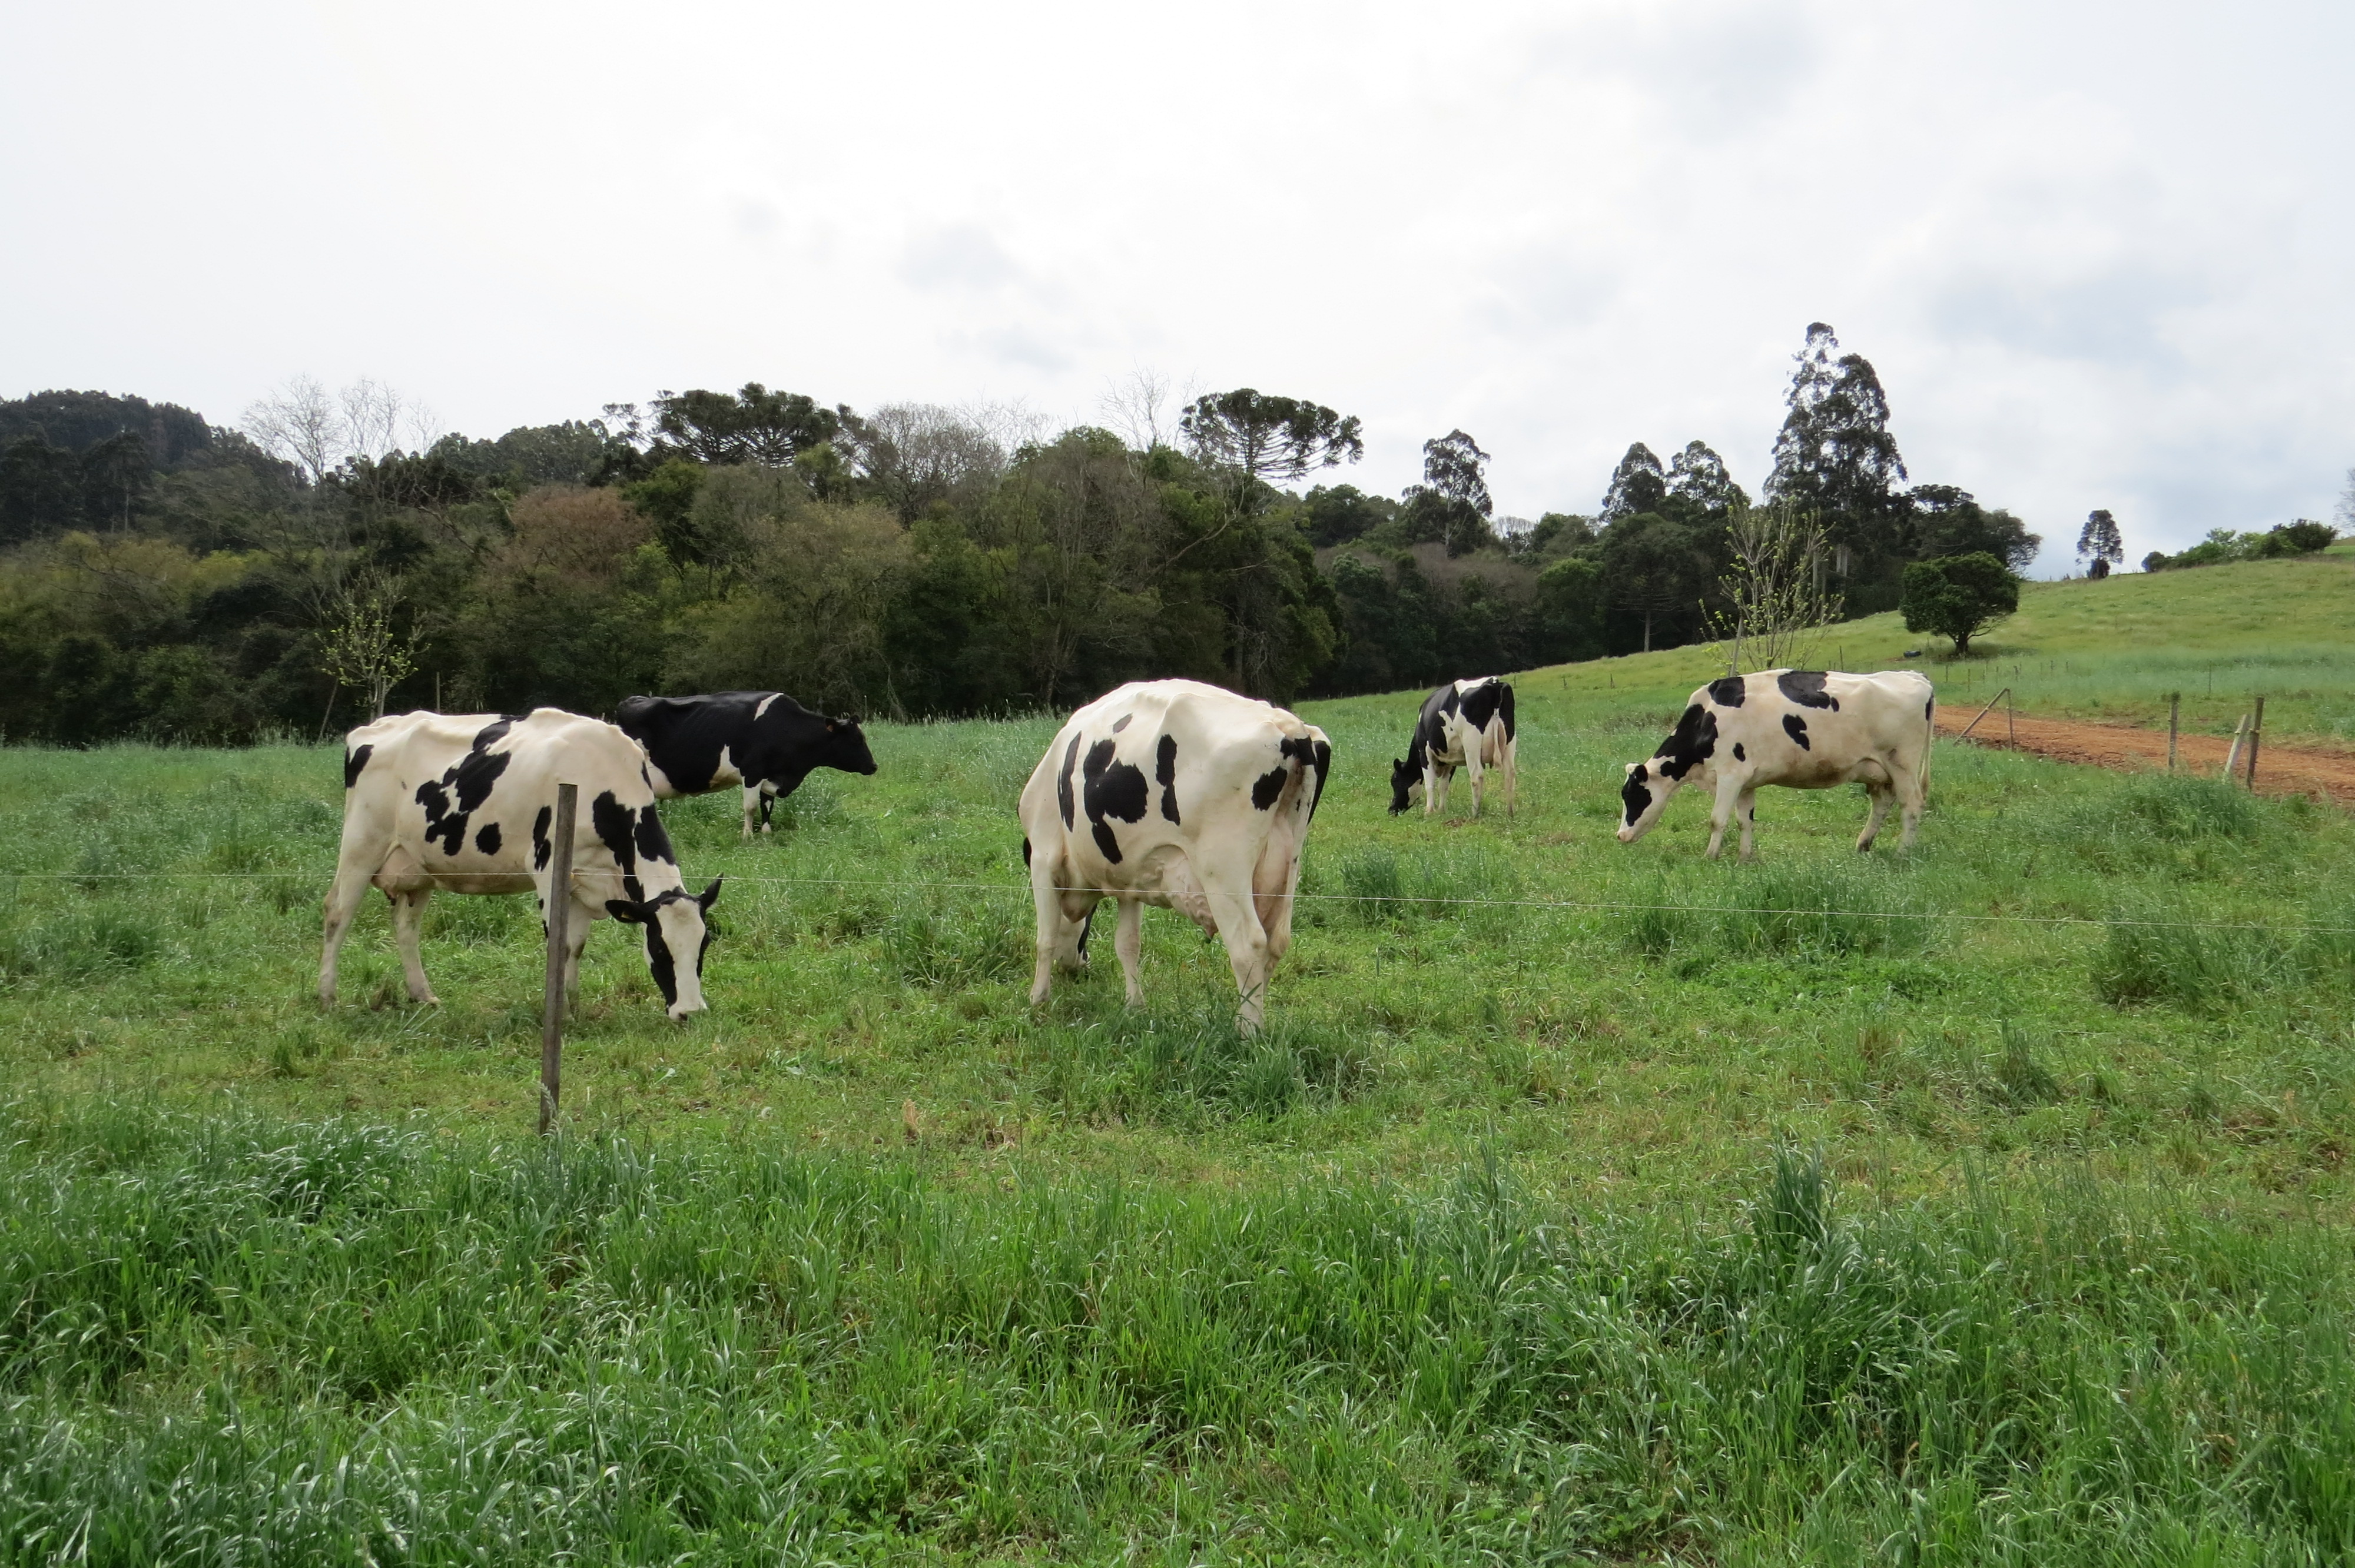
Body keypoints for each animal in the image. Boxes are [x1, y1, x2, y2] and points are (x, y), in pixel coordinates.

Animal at [325, 706, 716, 1022]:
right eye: (660, 947)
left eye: (705, 944)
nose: (690, 1012)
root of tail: (374, 726)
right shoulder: (548, 867)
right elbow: (560, 946)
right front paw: (560, 1014)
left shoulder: (587, 882)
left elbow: (576, 946)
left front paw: (574, 1006)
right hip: (362, 845)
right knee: (337, 913)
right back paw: (327, 997)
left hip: (418, 867)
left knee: (406, 928)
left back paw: (423, 995)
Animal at [617, 692, 885, 838]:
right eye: (856, 739)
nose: (873, 766)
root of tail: (630, 701)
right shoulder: (753, 771)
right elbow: (751, 806)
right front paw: (747, 835)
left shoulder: (772, 775)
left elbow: (768, 805)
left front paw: (766, 833)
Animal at [1022, 673, 1338, 1026]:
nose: (1081, 965)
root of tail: (1289, 727)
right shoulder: (1128, 879)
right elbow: (1128, 944)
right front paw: (1135, 1007)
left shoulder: (1044, 858)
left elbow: (1045, 938)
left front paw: (1037, 1002)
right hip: (1288, 863)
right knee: (1275, 943)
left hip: (1223, 868)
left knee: (1249, 945)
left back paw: (1249, 1031)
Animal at [1375, 673, 1526, 819]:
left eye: (1395, 781)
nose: (1391, 810)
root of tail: (1493, 682)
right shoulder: (1451, 758)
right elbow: (1444, 785)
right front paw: (1441, 811)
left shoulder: (1425, 751)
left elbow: (1430, 783)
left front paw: (1429, 812)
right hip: (1510, 739)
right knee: (1510, 774)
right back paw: (1510, 812)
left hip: (1471, 742)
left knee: (1477, 776)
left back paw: (1475, 814)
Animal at [1620, 659, 1931, 857]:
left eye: (1632, 796)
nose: (1620, 836)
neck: (1707, 718)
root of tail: (1915, 676)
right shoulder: (1746, 782)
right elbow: (1745, 821)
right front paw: (1744, 858)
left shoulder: (1730, 775)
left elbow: (1717, 819)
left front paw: (1709, 856)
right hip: (1878, 770)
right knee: (1882, 803)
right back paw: (1863, 845)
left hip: (1902, 763)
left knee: (1911, 805)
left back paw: (1904, 852)